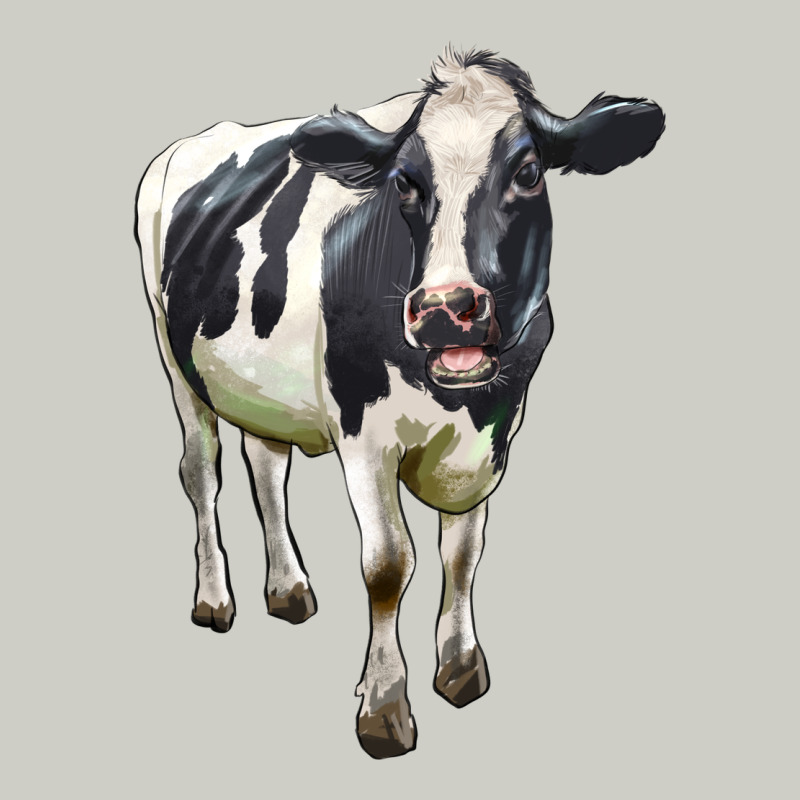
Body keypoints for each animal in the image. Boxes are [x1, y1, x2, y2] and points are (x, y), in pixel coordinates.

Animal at [135, 48, 664, 759]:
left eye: (527, 172)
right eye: (406, 183)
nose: (445, 308)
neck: (460, 403)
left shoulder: (494, 438)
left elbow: (463, 552)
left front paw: (461, 667)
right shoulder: (363, 433)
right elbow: (389, 564)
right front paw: (384, 707)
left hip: (261, 387)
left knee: (267, 469)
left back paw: (288, 588)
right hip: (175, 364)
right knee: (201, 475)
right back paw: (215, 598)